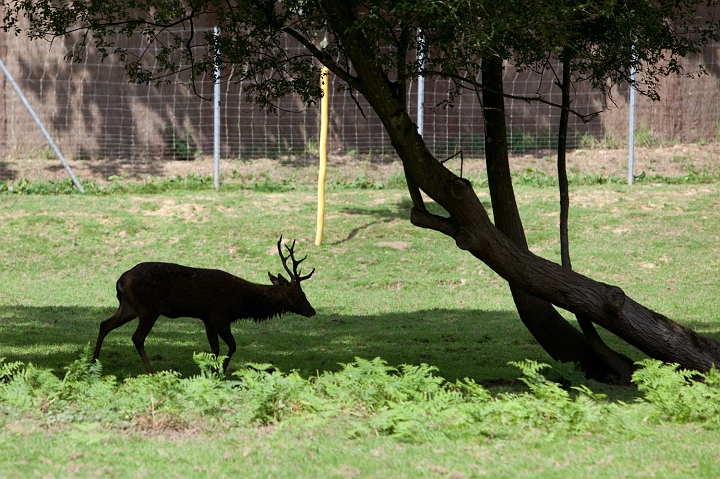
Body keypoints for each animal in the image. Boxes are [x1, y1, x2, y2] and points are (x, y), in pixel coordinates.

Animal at [92, 236, 315, 374]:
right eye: (300, 294)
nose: (312, 311)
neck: (242, 303)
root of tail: (121, 280)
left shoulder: (207, 318)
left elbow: (214, 347)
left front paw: (211, 370)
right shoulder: (221, 315)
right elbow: (232, 346)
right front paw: (221, 371)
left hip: (129, 307)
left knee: (104, 324)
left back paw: (94, 361)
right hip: (149, 308)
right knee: (136, 337)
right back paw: (151, 370)